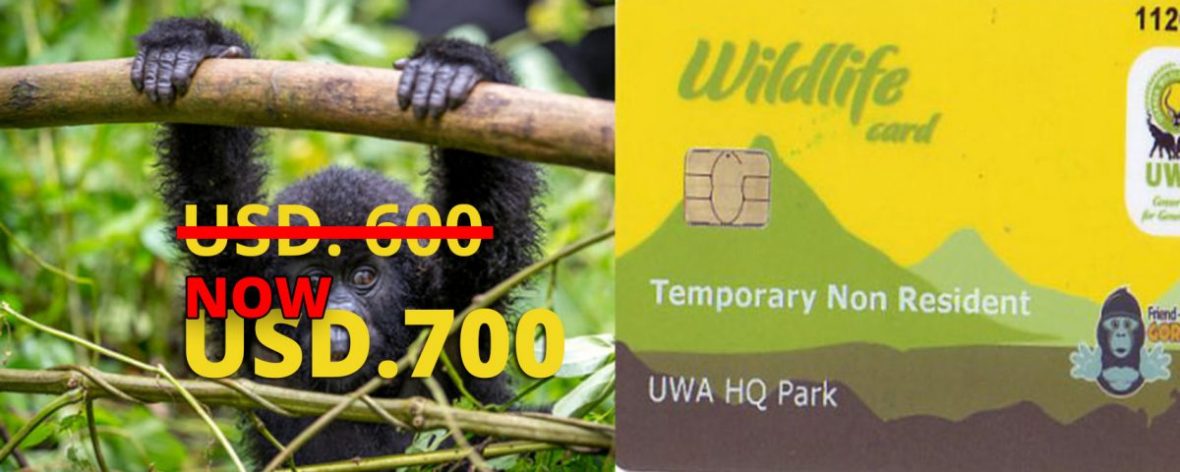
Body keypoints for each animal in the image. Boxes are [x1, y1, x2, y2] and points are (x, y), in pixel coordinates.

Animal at [131, 17, 542, 465]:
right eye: (314, 280)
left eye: (363, 276)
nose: (338, 316)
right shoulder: (240, 283)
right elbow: (211, 185)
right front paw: (187, 46)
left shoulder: (458, 304)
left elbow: (482, 217)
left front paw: (455, 66)